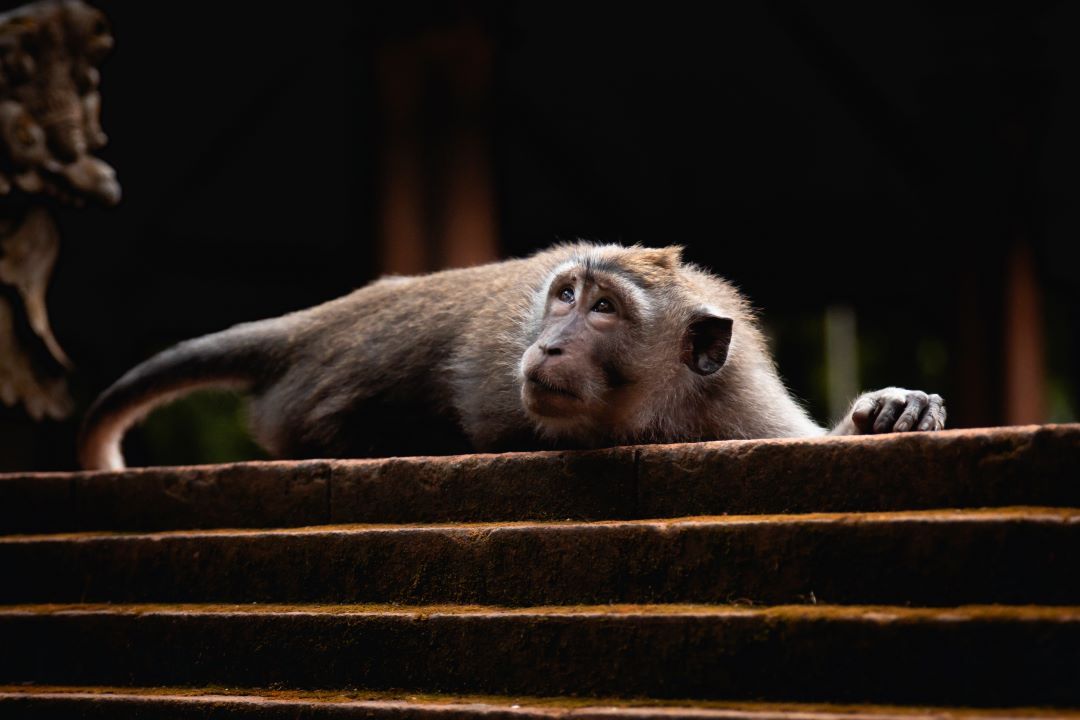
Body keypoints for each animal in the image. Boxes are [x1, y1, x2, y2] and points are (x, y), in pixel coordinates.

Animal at [78, 243, 946, 471]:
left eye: (605, 309)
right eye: (565, 295)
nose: (549, 341)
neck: (663, 407)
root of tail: (325, 322)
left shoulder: (737, 405)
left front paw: (887, 409)